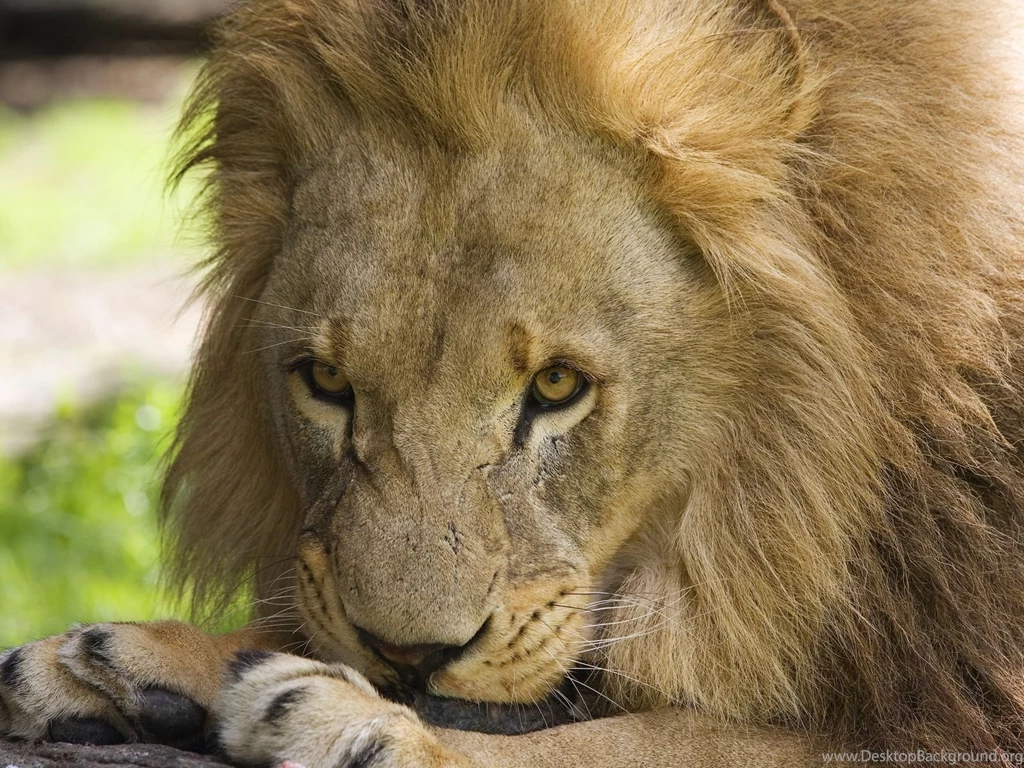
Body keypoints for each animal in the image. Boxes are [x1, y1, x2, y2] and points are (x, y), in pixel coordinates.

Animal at [3, 0, 1024, 765]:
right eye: (326, 380)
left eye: (559, 385)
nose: (407, 657)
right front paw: (125, 661)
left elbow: (644, 742)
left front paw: (358, 724)